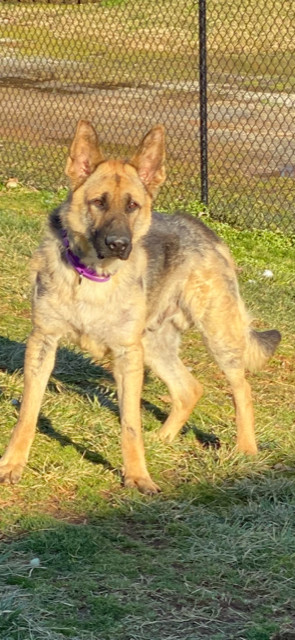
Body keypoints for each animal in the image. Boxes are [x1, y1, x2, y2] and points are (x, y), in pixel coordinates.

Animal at [0, 120, 282, 492]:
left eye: (132, 205)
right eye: (98, 202)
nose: (120, 245)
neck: (94, 276)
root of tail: (202, 228)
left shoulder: (126, 355)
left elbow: (130, 422)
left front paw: (136, 475)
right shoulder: (43, 342)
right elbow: (28, 412)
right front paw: (12, 463)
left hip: (217, 336)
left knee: (242, 388)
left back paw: (246, 450)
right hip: (153, 345)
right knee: (190, 389)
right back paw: (162, 439)